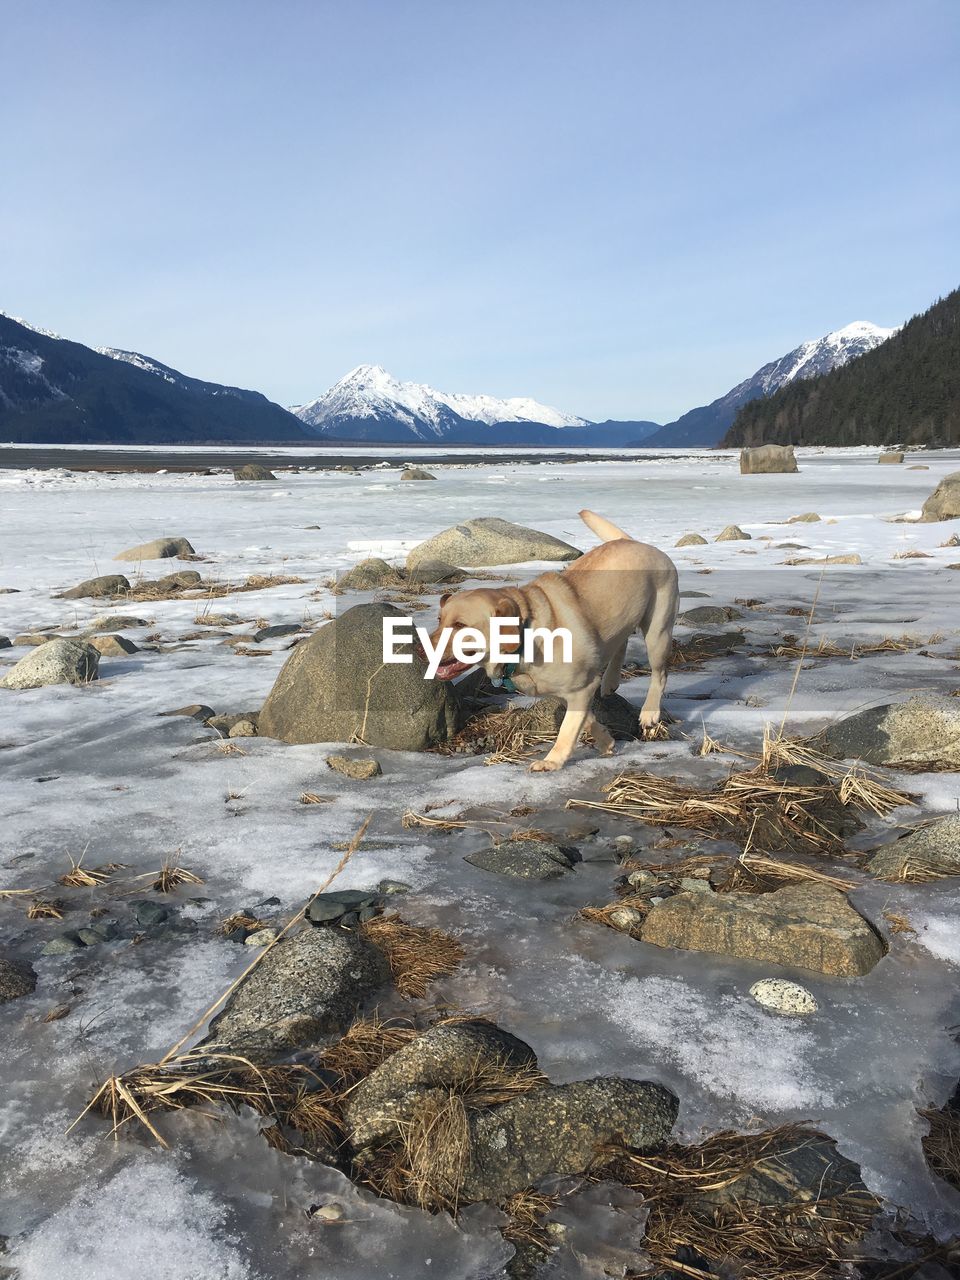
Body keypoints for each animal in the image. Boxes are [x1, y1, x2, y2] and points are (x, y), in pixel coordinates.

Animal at [432, 509, 680, 768]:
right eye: (439, 619)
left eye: (460, 626)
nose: (422, 649)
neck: (527, 635)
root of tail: (635, 541)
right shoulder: (566, 693)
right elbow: (586, 720)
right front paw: (606, 742)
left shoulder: (582, 688)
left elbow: (567, 729)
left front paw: (552, 761)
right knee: (621, 642)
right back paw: (610, 681)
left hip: (658, 632)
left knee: (660, 673)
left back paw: (650, 712)